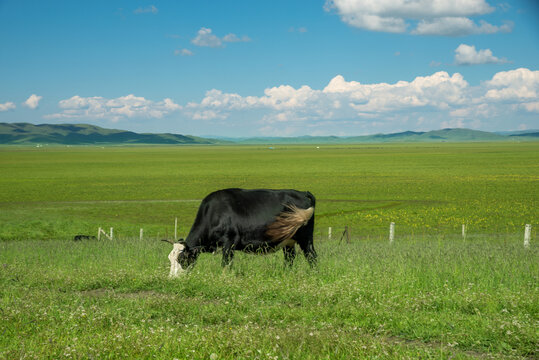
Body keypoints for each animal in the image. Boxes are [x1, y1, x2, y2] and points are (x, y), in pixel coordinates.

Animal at [170, 187, 316, 274]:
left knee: (311, 256)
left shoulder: (229, 242)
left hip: (306, 238)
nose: (173, 278)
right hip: (288, 241)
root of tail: (303, 193)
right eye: (170, 259)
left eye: (182, 259)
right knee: (290, 258)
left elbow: (226, 263)